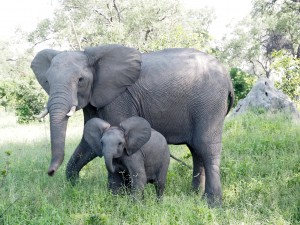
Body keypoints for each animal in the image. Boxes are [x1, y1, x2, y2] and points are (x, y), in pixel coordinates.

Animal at [32, 44, 234, 206]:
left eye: (80, 80)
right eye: (47, 81)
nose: (50, 172)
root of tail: (228, 76)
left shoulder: (118, 99)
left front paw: (123, 198)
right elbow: (88, 145)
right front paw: (75, 189)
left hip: (209, 103)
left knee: (205, 146)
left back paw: (211, 204)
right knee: (195, 149)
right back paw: (194, 196)